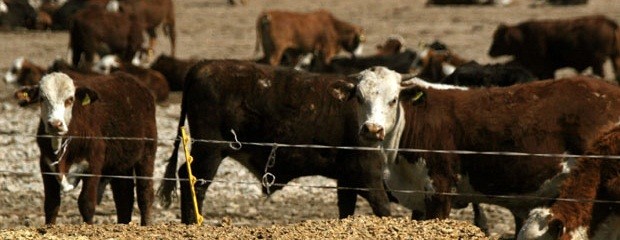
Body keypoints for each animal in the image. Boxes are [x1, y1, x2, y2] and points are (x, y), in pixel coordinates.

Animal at [15, 72, 157, 226]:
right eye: (42, 98)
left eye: (70, 99)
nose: (55, 124)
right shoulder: (45, 165)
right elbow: (51, 203)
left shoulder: (94, 164)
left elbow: (86, 203)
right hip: (121, 164)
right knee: (124, 197)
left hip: (147, 153)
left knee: (145, 193)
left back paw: (147, 223)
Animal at [160, 60, 412, 225]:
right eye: (359, 97)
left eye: (393, 99)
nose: (373, 130)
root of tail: (202, 66)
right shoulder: (368, 176)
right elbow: (383, 209)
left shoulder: (346, 179)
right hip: (209, 151)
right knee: (195, 182)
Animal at [490, 15, 620, 82]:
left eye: (498, 38)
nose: (490, 52)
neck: (522, 37)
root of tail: (609, 22)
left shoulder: (546, 70)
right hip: (614, 57)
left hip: (598, 62)